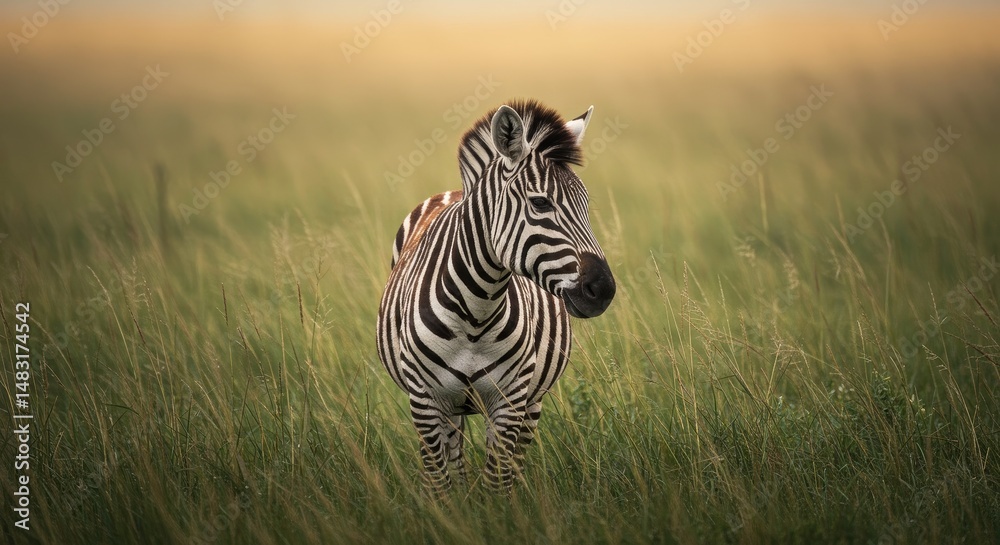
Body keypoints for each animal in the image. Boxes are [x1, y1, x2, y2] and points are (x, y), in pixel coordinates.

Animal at [376, 99, 616, 493]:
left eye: (585, 205)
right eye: (540, 203)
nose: (603, 290)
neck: (475, 312)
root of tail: (454, 191)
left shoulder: (510, 399)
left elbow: (497, 484)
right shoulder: (425, 402)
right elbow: (441, 484)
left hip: (531, 401)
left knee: (513, 462)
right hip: (449, 407)